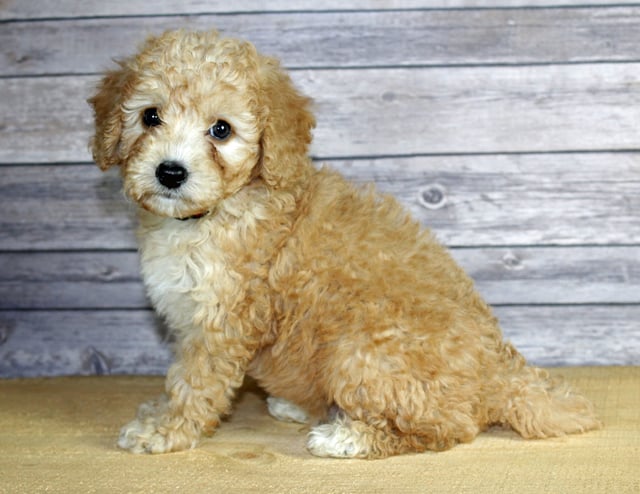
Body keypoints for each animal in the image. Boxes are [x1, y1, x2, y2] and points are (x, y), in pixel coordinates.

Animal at [89, 29, 600, 458]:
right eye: (150, 117)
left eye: (221, 130)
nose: (171, 171)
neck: (215, 213)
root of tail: (498, 377)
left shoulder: (221, 320)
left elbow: (194, 383)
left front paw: (165, 429)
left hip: (360, 351)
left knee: (446, 428)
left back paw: (347, 436)